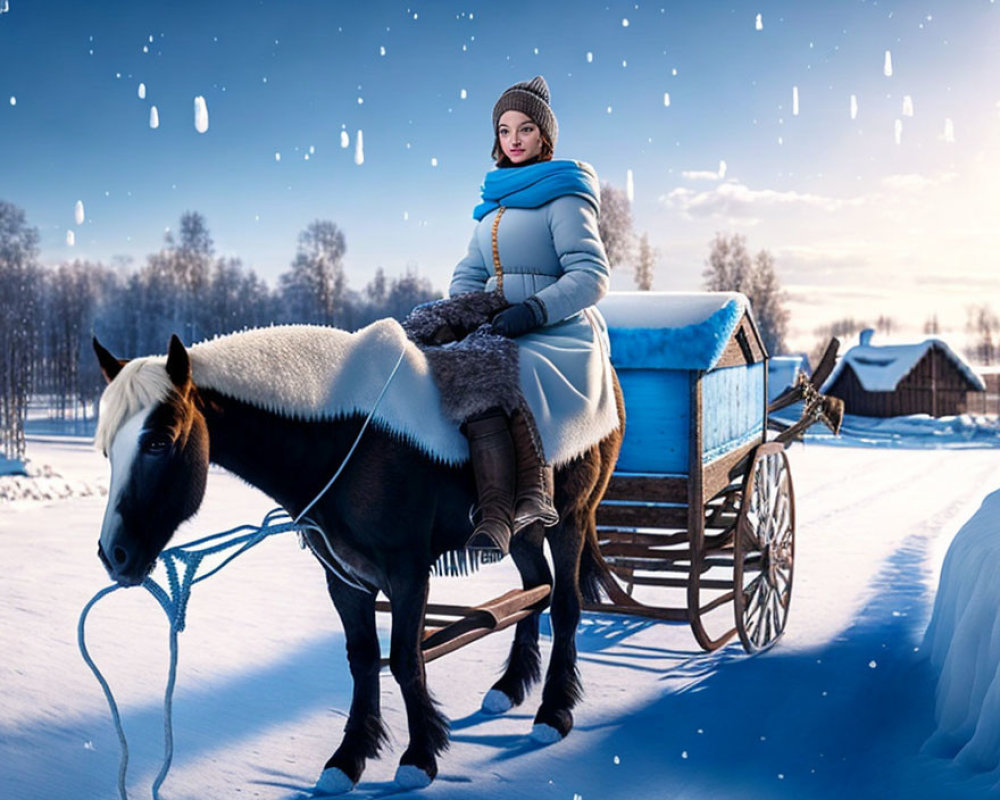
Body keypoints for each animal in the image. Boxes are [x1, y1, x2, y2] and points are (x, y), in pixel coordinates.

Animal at [94, 320, 624, 792]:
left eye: (159, 441)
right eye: (106, 450)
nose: (115, 554)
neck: (344, 438)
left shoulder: (408, 573)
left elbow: (407, 660)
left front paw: (419, 758)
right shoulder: (346, 578)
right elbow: (364, 659)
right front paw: (348, 760)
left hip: (571, 517)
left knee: (565, 604)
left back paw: (554, 711)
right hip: (523, 530)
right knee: (536, 589)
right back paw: (510, 687)